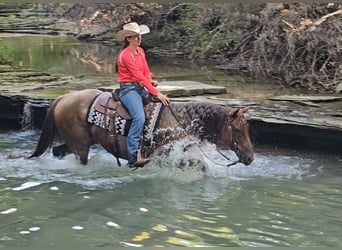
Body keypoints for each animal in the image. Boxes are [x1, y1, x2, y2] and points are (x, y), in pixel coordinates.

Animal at [29, 89, 254, 167]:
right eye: (237, 129)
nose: (250, 157)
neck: (180, 120)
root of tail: (63, 97)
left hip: (76, 142)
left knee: (58, 150)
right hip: (81, 145)